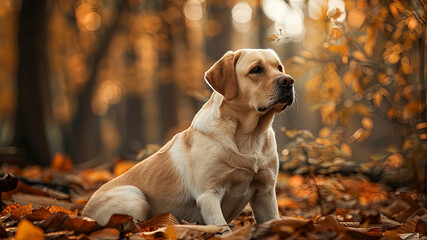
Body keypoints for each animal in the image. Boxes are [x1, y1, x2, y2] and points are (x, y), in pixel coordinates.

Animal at [82, 47, 296, 233]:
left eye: (279, 68)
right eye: (256, 69)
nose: (288, 81)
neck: (249, 138)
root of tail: (84, 213)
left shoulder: (265, 192)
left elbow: (273, 220)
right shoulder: (208, 195)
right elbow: (223, 229)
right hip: (135, 199)